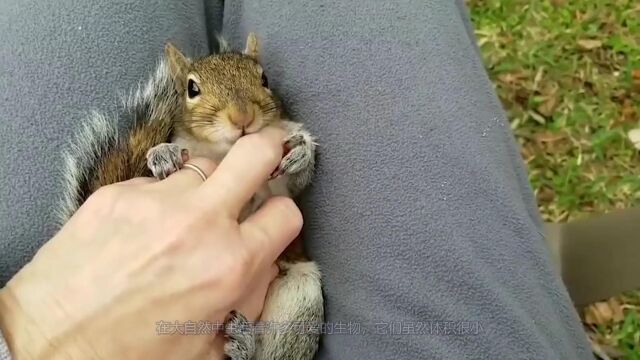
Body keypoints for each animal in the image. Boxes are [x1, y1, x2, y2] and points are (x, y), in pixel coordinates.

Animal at [55, 32, 324, 358]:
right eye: (191, 88)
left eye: (264, 78)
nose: (242, 117)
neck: (223, 152)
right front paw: (162, 154)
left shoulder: (282, 188)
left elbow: (298, 182)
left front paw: (302, 151)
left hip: (302, 297)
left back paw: (244, 344)